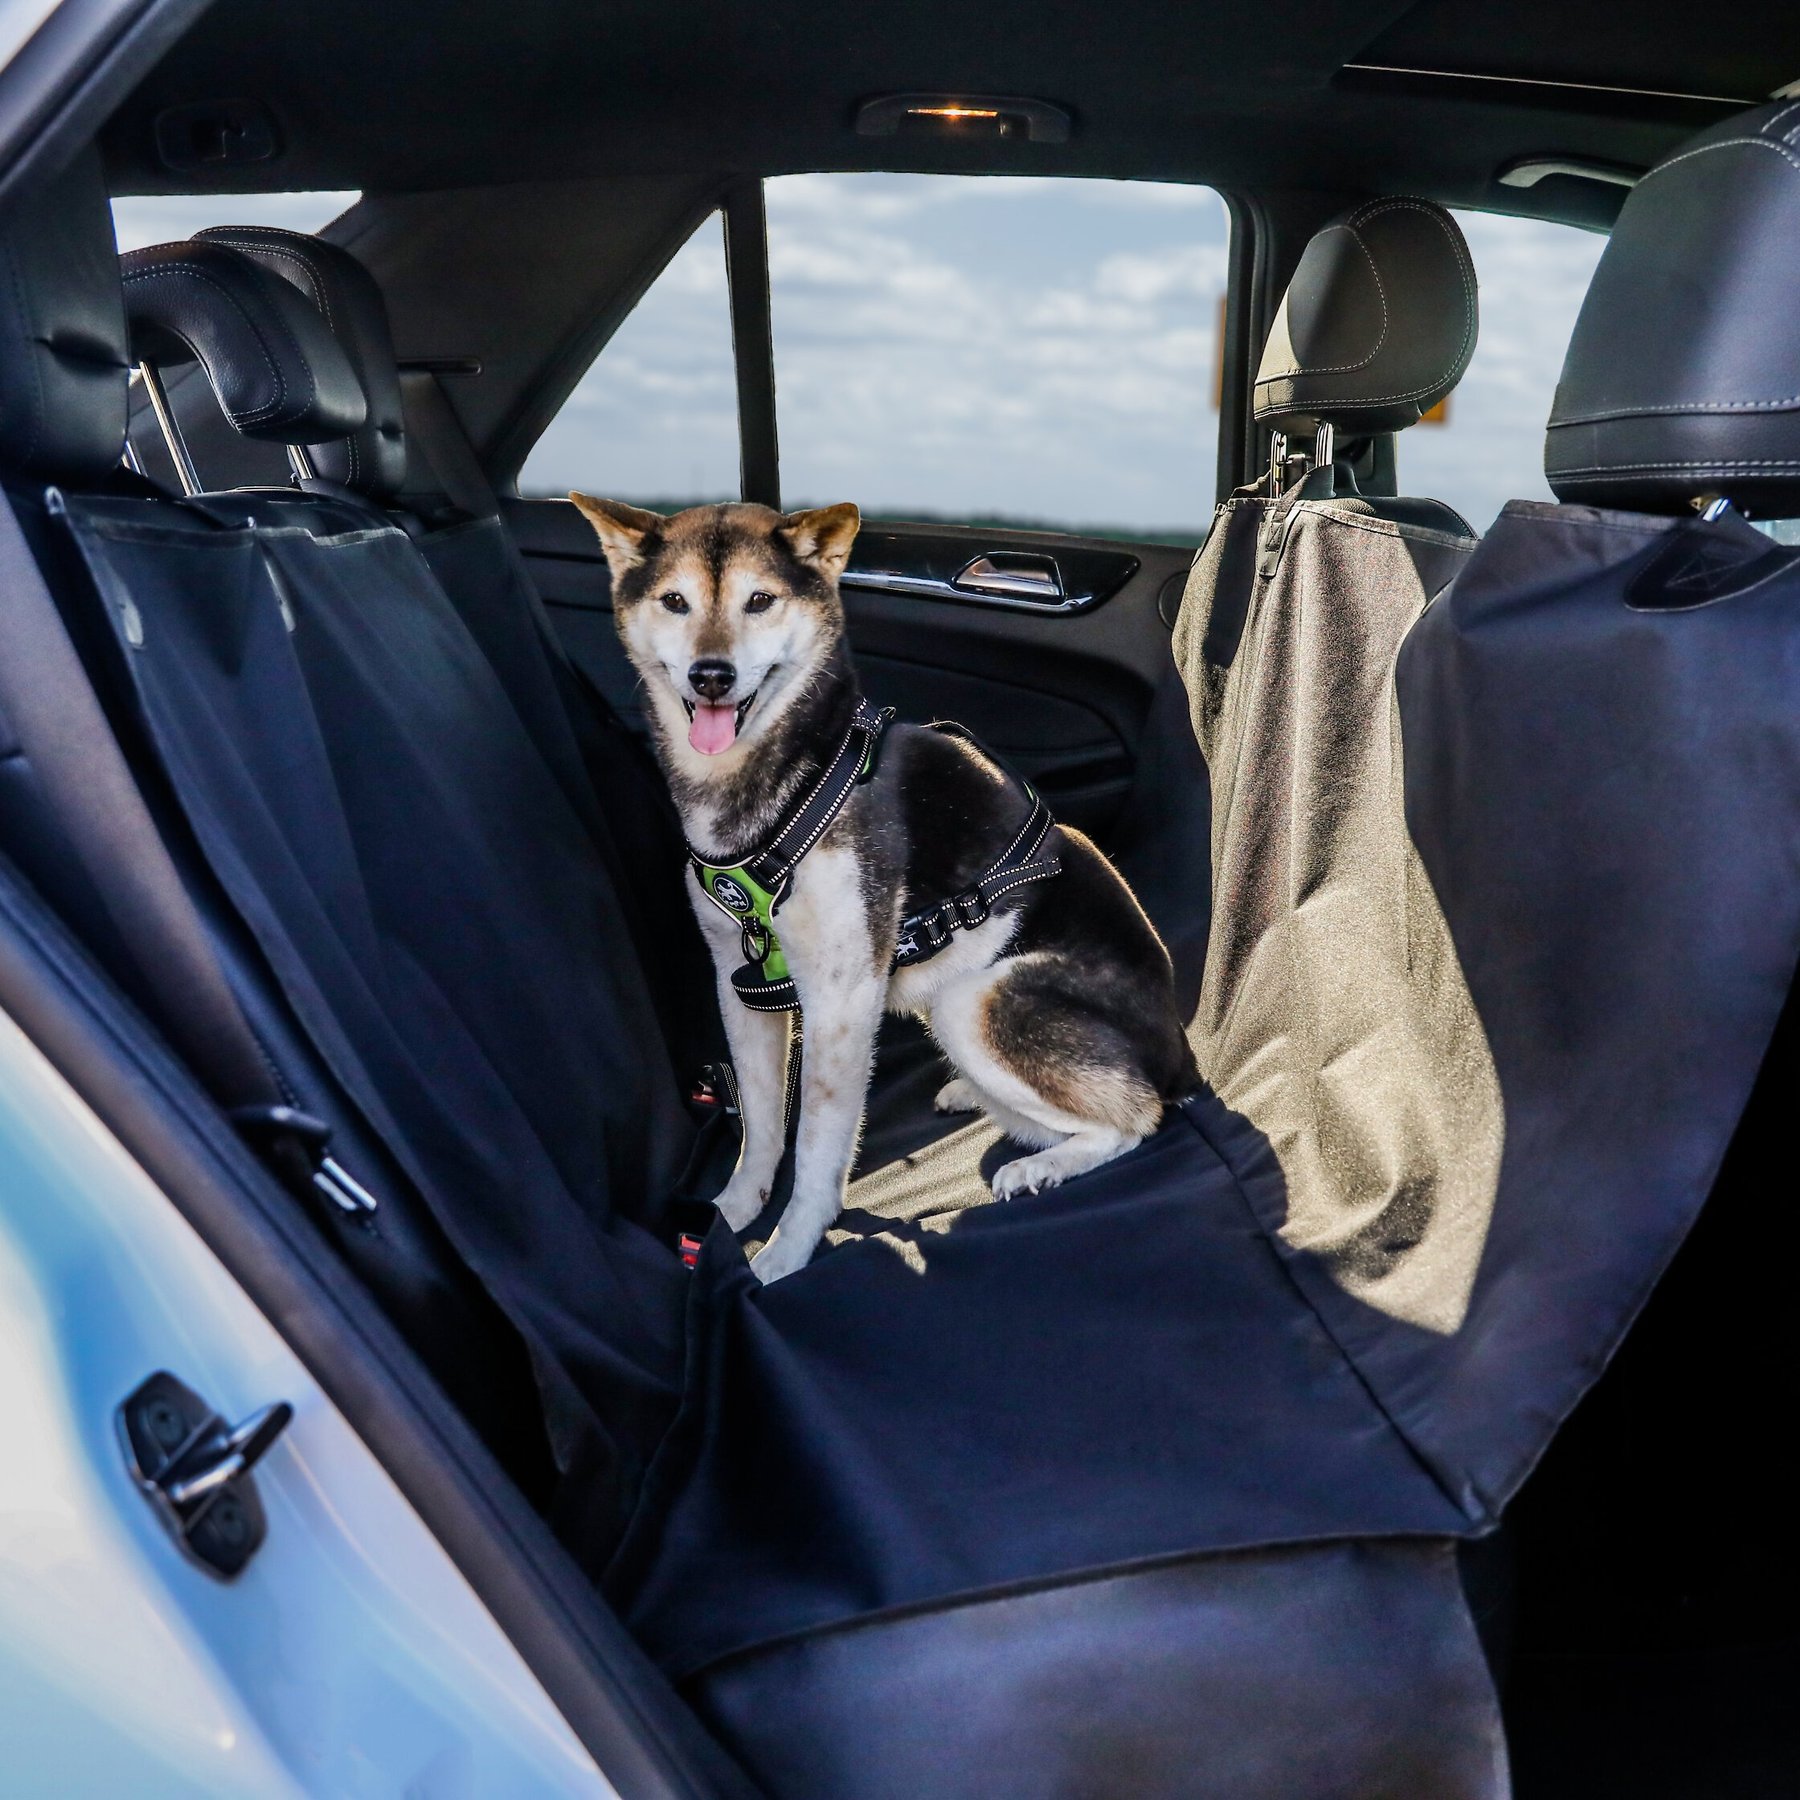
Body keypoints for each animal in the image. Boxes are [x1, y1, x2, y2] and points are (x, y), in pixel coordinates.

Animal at [568, 496, 1202, 1281]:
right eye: (675, 602)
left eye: (759, 600)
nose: (711, 675)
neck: (792, 783)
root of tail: (1180, 1051)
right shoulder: (739, 982)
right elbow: (762, 1123)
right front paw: (734, 1210)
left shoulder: (840, 995)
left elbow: (816, 1142)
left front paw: (788, 1249)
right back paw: (976, 1096)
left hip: (978, 1000)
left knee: (1135, 1117)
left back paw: (1042, 1164)